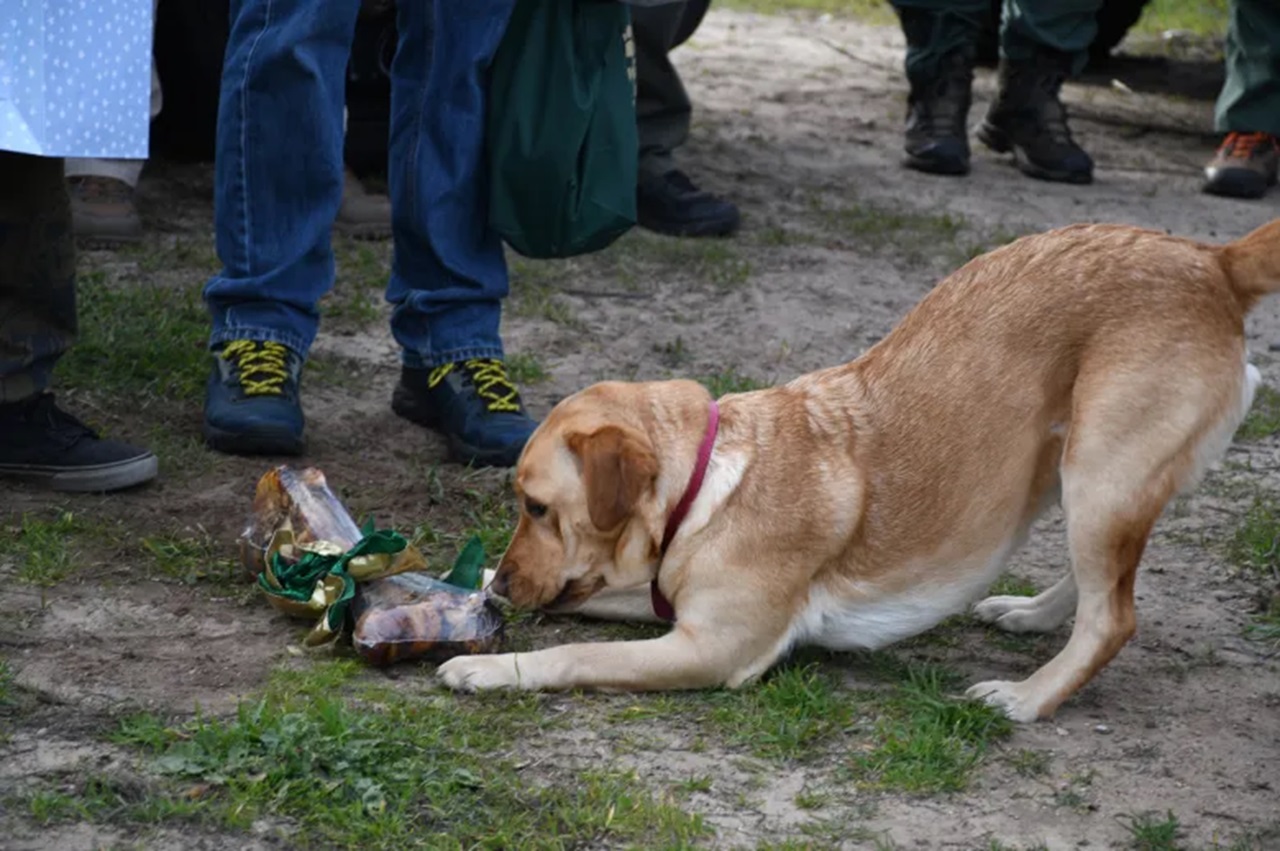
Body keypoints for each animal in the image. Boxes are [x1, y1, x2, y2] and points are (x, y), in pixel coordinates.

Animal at [437, 217, 1280, 716]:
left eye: (537, 507)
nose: (502, 586)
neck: (707, 485)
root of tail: (1213, 261)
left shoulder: (715, 648)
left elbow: (574, 650)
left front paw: (490, 668)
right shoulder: (672, 607)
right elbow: (596, 606)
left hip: (1102, 474)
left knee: (1115, 615)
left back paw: (1027, 696)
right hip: (1081, 473)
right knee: (1105, 583)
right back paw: (1031, 614)